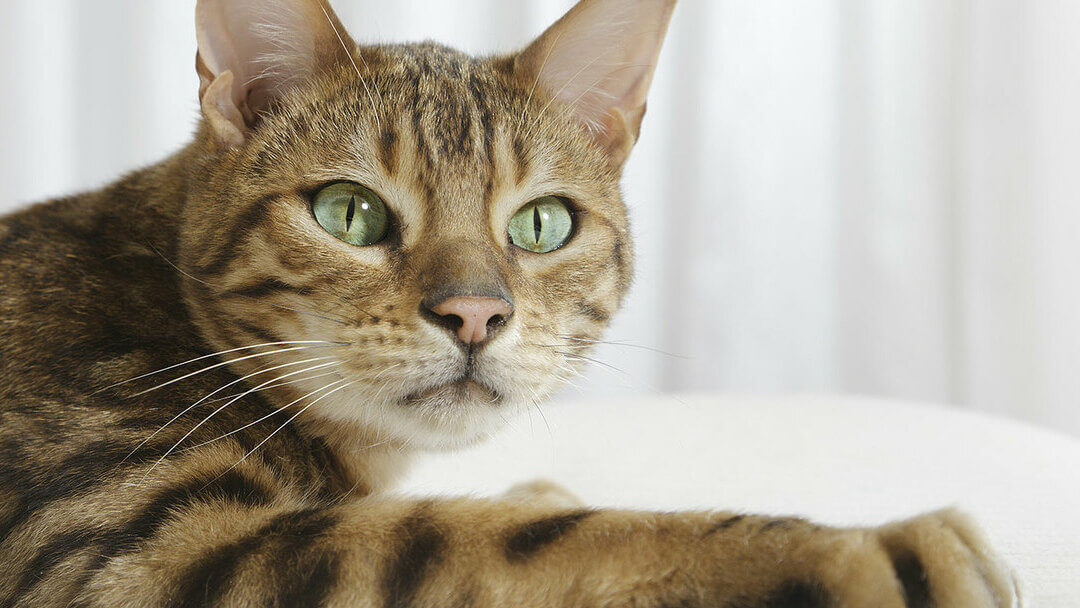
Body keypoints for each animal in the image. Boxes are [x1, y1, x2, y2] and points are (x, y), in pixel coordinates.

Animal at [0, 1, 1015, 608]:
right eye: (348, 212)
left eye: (541, 224)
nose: (475, 315)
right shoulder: (145, 555)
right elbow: (515, 541)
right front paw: (863, 554)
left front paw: (535, 484)